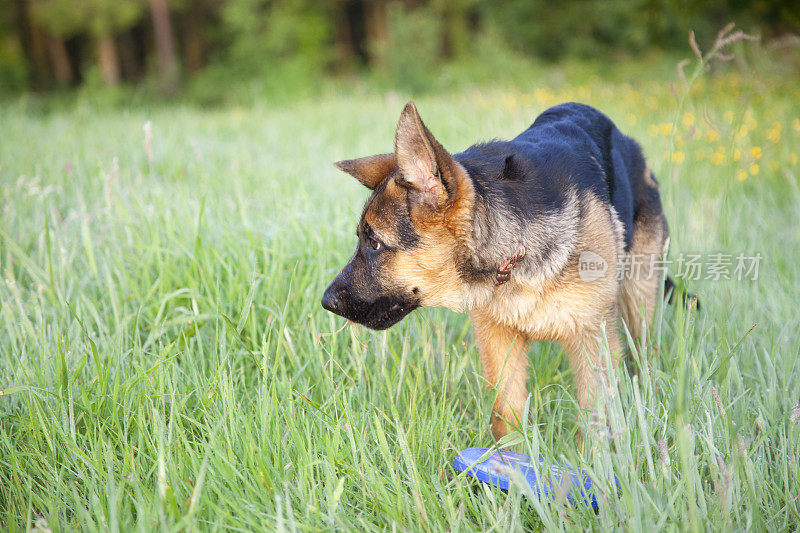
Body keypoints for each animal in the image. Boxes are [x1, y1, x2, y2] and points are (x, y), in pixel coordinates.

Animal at [324, 102, 668, 438]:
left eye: (374, 243)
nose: (326, 301)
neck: (516, 259)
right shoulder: (498, 342)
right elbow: (507, 415)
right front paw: (507, 457)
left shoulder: (593, 342)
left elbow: (597, 427)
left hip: (639, 304)